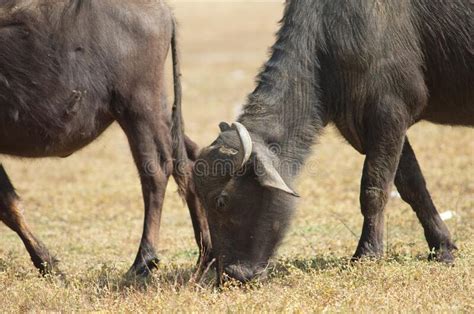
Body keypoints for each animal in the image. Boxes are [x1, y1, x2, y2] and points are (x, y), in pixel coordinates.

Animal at [0, 0, 211, 276]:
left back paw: (144, 261)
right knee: (189, 160)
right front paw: (48, 263)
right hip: (159, 113)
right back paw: (205, 254)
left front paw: (48, 264)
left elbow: (8, 205)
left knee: (156, 172)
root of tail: (163, 11)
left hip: (139, 107)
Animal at [193, 0, 474, 284]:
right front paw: (442, 247)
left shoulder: (390, 112)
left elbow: (374, 189)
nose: (230, 275)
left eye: (221, 201)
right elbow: (412, 187)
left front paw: (367, 253)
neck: (327, 37)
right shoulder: (371, 127)